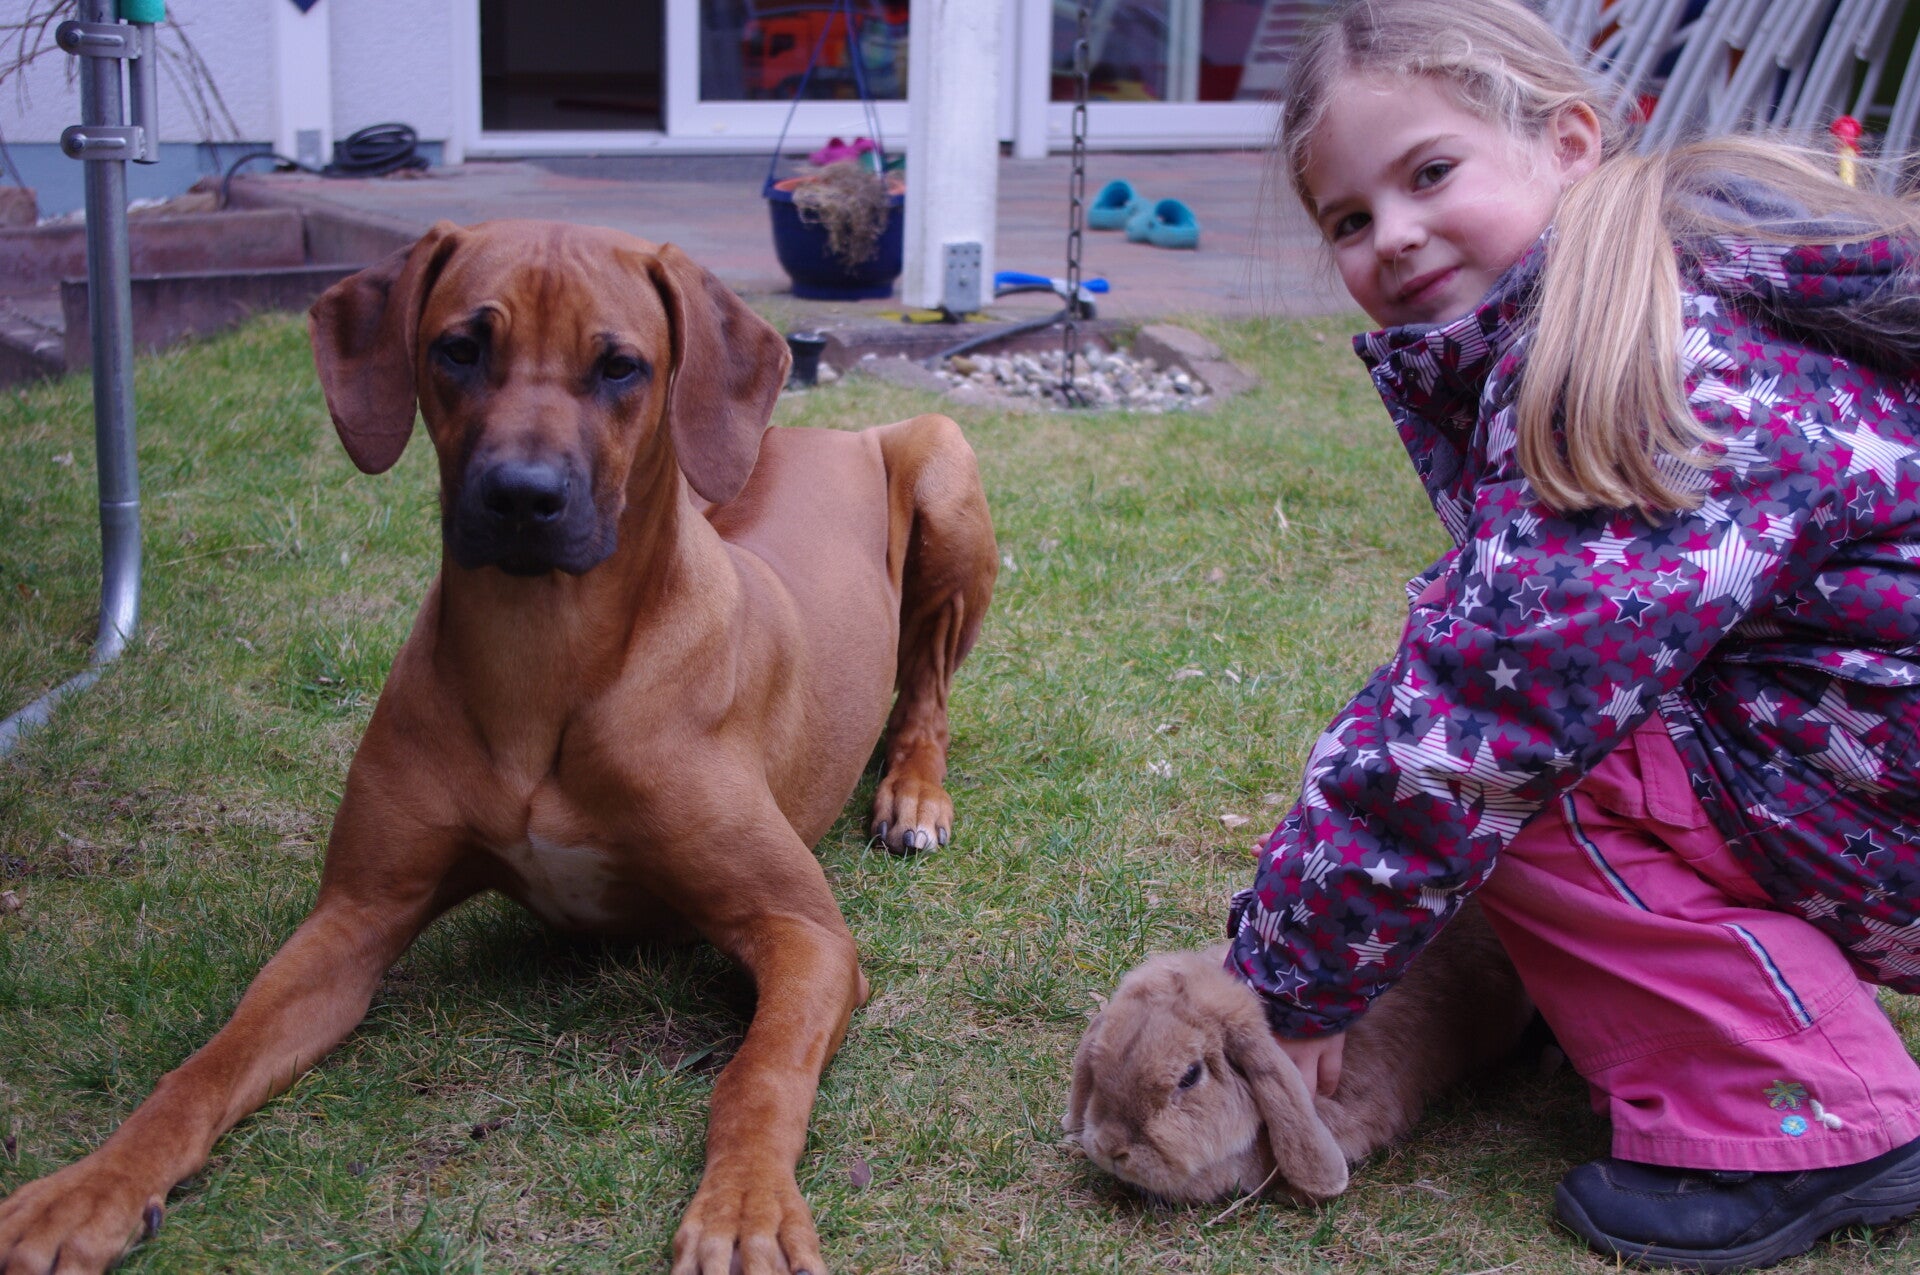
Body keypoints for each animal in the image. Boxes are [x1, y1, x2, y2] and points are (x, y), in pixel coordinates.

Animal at [0, 219, 997, 1275]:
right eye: (460, 348)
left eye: (619, 366)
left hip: (943, 464)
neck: (542, 662)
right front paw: (91, 1187)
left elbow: (757, 1074)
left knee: (926, 690)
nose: (523, 497)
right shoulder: (354, 915)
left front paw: (746, 1204)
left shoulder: (805, 933)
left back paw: (913, 795)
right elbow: (207, 1060)